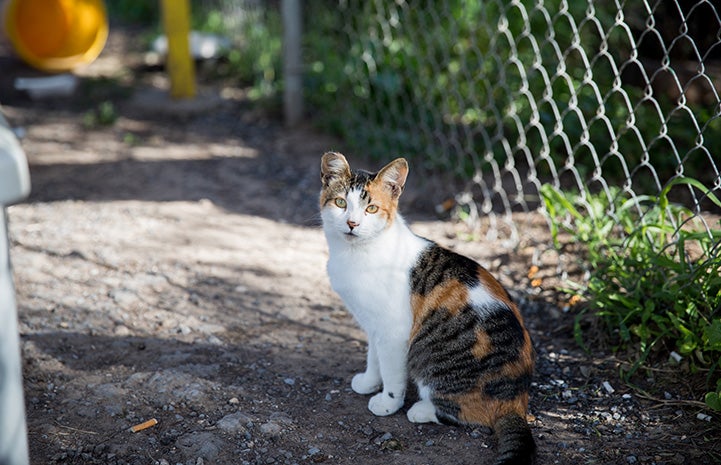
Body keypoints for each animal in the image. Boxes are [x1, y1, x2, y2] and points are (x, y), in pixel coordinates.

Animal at [320, 152, 536, 464]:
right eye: (340, 203)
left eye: (371, 208)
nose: (352, 223)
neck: (355, 254)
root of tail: (516, 402)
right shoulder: (374, 325)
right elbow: (374, 358)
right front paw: (370, 381)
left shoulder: (394, 331)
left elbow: (392, 371)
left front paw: (388, 402)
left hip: (430, 359)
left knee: (469, 413)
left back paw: (421, 410)